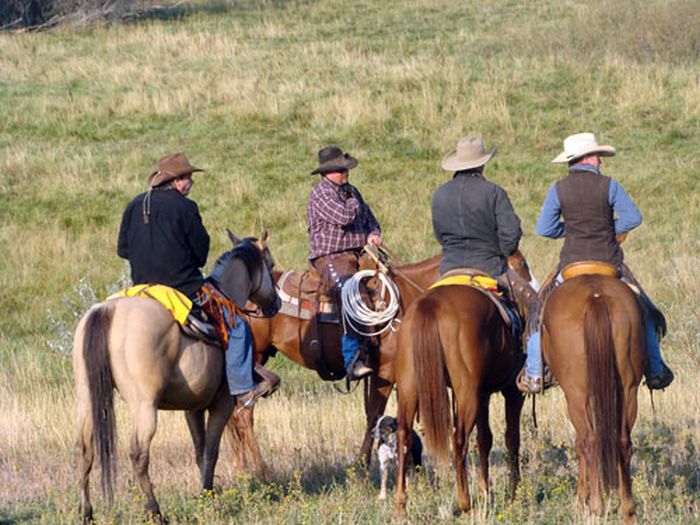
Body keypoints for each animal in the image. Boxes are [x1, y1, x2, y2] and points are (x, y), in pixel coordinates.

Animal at [72, 231, 278, 520]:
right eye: (270, 265)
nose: (275, 304)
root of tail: (109, 311)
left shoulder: (192, 409)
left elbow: (200, 451)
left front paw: (206, 495)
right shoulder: (222, 404)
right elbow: (212, 451)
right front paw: (208, 497)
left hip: (87, 398)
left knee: (84, 450)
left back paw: (87, 513)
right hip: (144, 406)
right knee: (138, 455)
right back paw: (155, 512)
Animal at [392, 254, 532, 516]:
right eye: (522, 265)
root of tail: (431, 304)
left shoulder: (484, 394)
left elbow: (485, 439)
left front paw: (487, 492)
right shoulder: (512, 392)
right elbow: (512, 438)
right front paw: (514, 494)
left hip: (408, 388)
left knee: (404, 436)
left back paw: (400, 506)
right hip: (467, 394)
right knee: (459, 441)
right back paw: (465, 502)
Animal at [540, 272, 644, 520]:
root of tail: (596, 297)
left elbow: (580, 445)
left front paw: (581, 502)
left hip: (576, 395)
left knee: (590, 442)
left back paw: (596, 507)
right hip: (628, 390)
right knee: (622, 441)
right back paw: (628, 510)